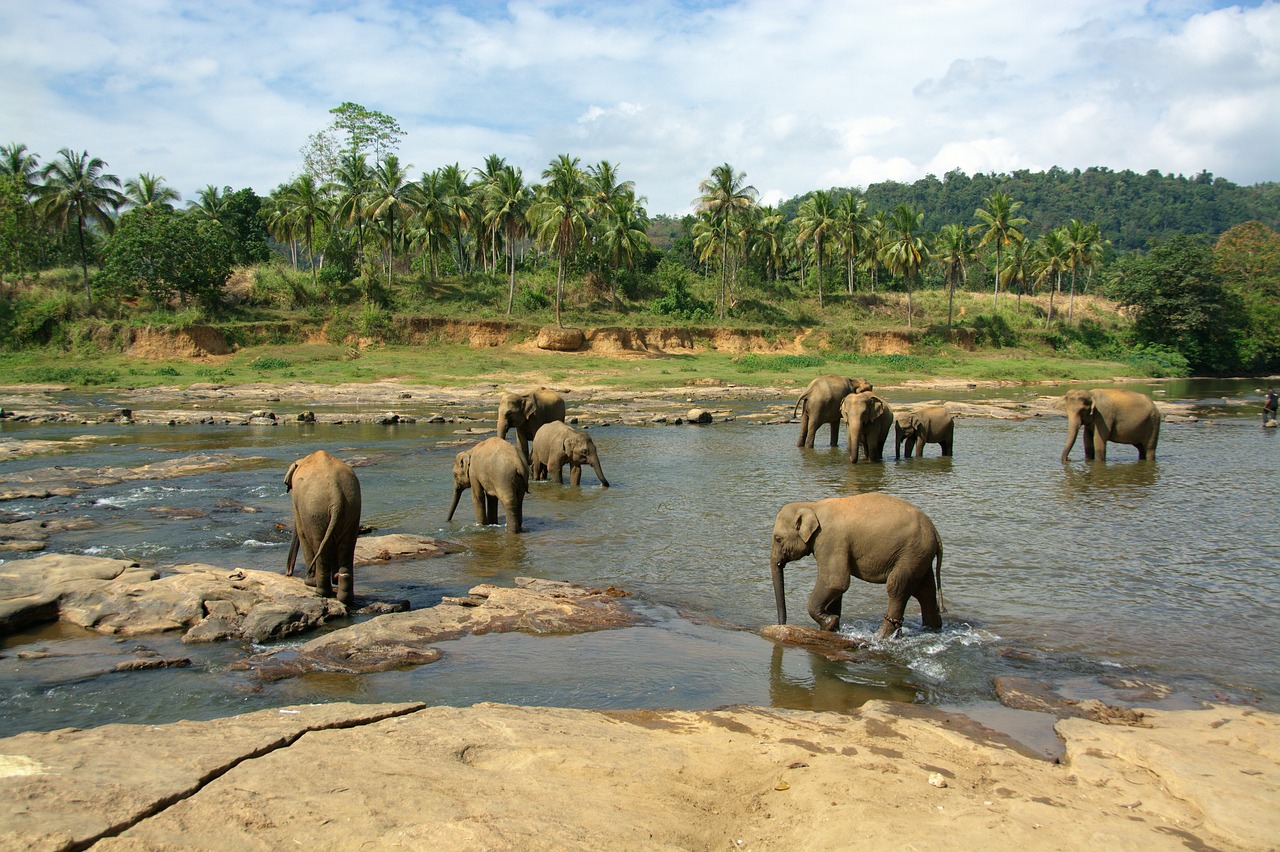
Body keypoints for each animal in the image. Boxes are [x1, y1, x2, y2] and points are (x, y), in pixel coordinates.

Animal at [284, 450, 361, 607]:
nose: (288, 573)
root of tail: (336, 496)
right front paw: (335, 578)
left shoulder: (298, 505)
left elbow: (301, 533)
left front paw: (309, 583)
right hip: (352, 508)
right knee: (347, 546)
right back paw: (344, 596)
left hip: (315, 512)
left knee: (319, 545)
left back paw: (320, 591)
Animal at [770, 493, 944, 639]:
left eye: (778, 539)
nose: (781, 625)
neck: (811, 505)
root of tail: (935, 532)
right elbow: (836, 589)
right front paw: (831, 628)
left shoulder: (830, 540)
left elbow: (835, 582)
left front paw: (830, 623)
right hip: (920, 556)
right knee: (925, 591)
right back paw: (932, 629)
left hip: (911, 553)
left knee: (896, 587)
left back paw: (880, 637)